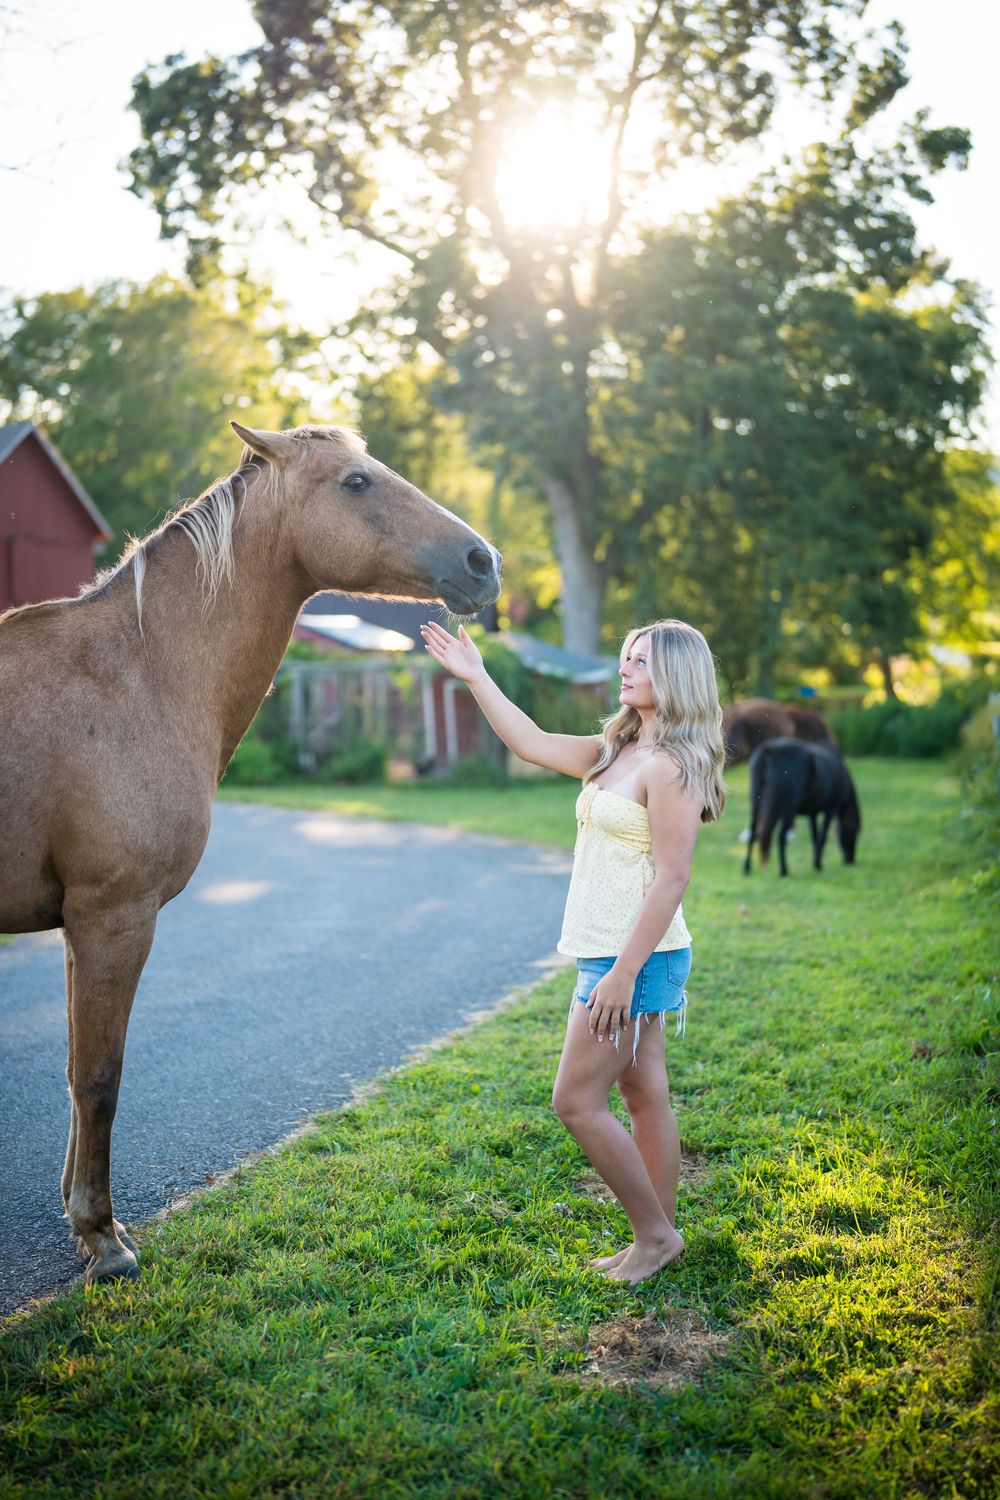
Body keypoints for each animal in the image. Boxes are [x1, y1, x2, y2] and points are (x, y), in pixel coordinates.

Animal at [0, 421, 501, 1284]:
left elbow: (72, 1071)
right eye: (356, 482)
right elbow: (99, 1076)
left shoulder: (76, 926)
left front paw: (81, 1217)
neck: (136, 674)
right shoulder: (111, 918)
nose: (482, 561)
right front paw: (103, 1236)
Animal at [743, 738, 861, 877]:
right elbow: (822, 837)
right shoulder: (831, 809)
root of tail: (767, 751)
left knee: (752, 834)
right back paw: (784, 871)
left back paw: (746, 868)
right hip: (788, 811)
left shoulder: (813, 813)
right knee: (781, 837)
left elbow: (815, 837)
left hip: (756, 807)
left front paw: (816, 862)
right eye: (854, 833)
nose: (850, 861)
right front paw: (818, 864)